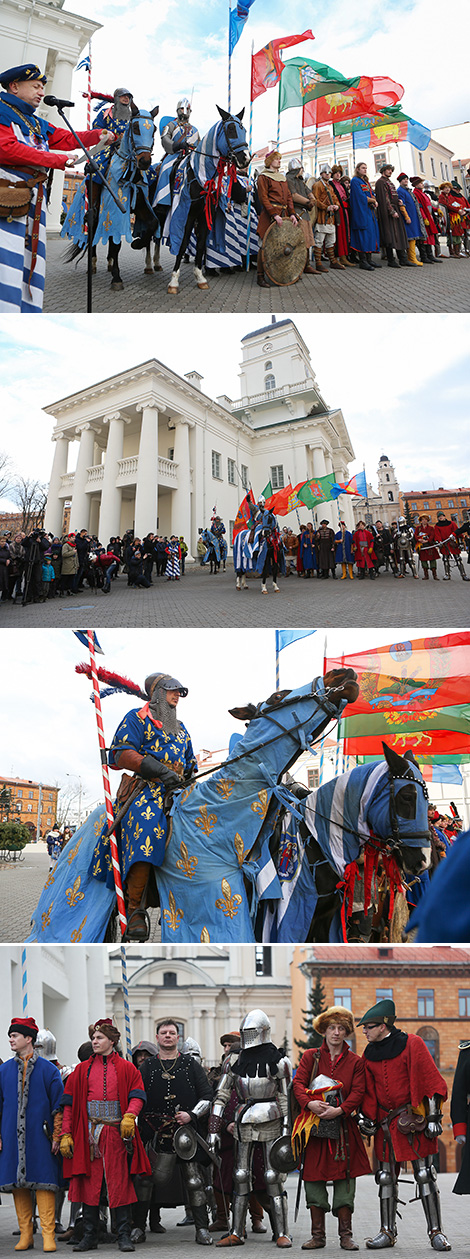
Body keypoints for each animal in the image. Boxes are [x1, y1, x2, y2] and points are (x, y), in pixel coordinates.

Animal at [62, 106, 158, 292]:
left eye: (154, 129)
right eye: (135, 127)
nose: (144, 161)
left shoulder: (140, 207)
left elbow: (151, 225)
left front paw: (136, 244)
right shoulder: (113, 210)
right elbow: (116, 243)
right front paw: (117, 277)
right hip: (94, 212)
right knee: (92, 233)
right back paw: (92, 264)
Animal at [153, 105, 249, 294]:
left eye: (245, 130)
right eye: (231, 129)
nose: (246, 158)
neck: (199, 175)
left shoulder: (204, 216)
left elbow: (201, 244)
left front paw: (200, 277)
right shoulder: (186, 215)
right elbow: (182, 244)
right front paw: (174, 281)